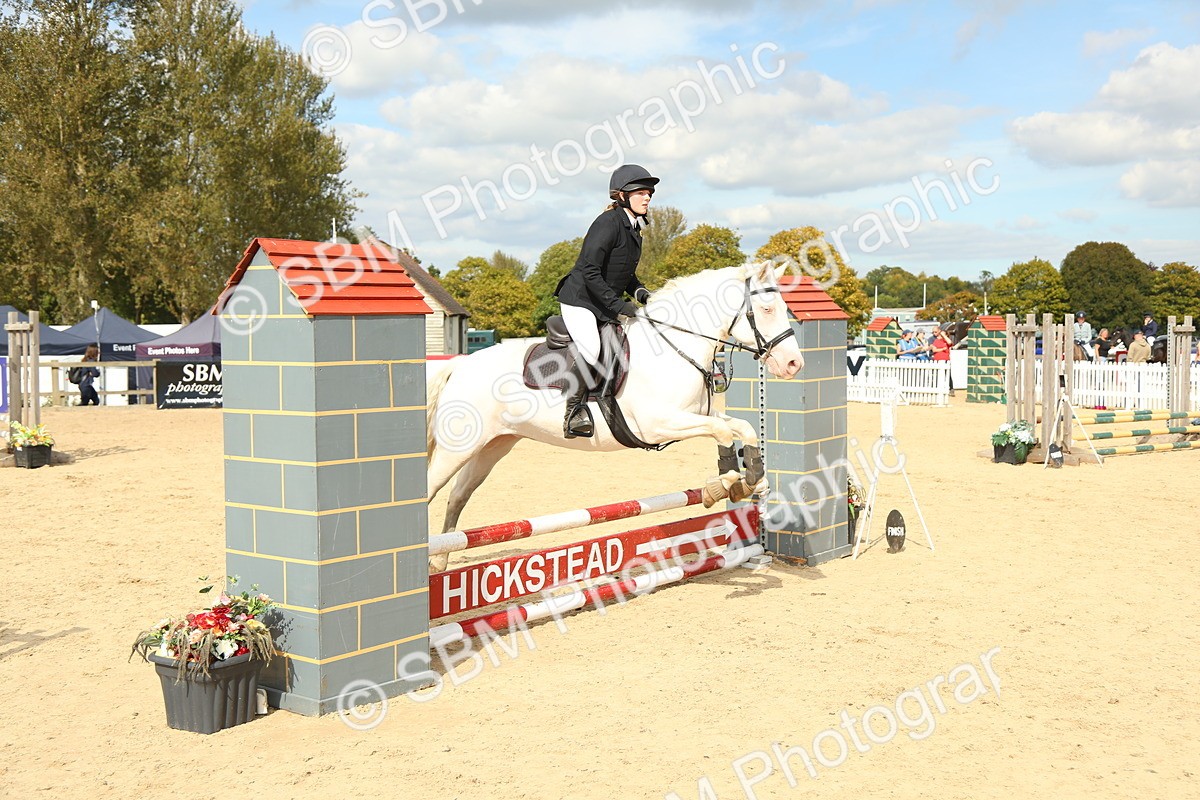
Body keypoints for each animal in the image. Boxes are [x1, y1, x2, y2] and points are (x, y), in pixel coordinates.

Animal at [425, 260, 805, 570]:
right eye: (767, 309)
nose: (793, 364)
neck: (675, 347)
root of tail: (460, 365)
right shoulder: (659, 424)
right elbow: (723, 432)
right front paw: (724, 482)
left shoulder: (691, 417)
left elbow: (742, 427)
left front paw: (753, 478)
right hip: (458, 448)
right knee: (431, 489)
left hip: (493, 446)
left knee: (458, 495)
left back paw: (440, 561)